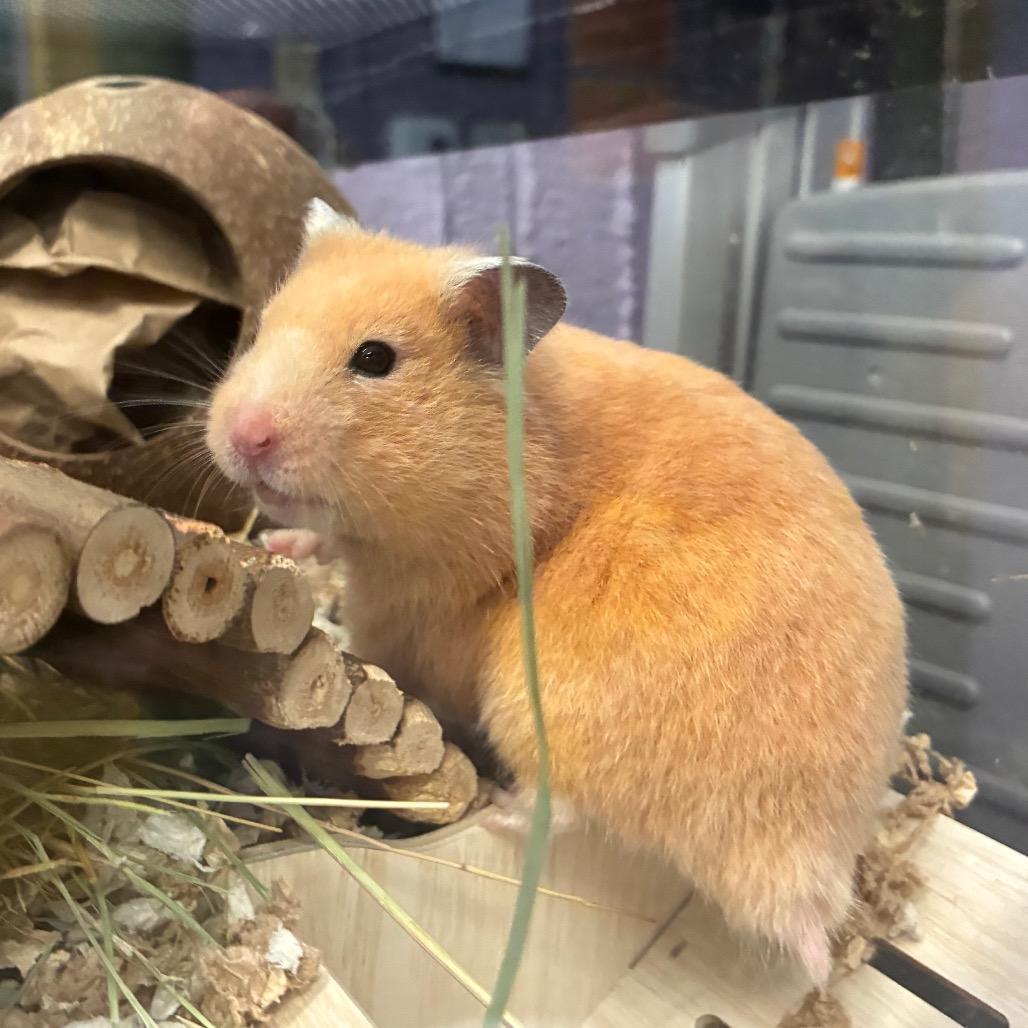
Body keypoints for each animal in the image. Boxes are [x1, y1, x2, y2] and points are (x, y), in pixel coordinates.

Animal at [206, 199, 908, 983]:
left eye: (375, 359)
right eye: (261, 328)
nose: (244, 435)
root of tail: (799, 864)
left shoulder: (416, 595)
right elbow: (321, 537)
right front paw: (279, 547)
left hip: (538, 703)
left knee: (564, 805)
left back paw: (500, 806)